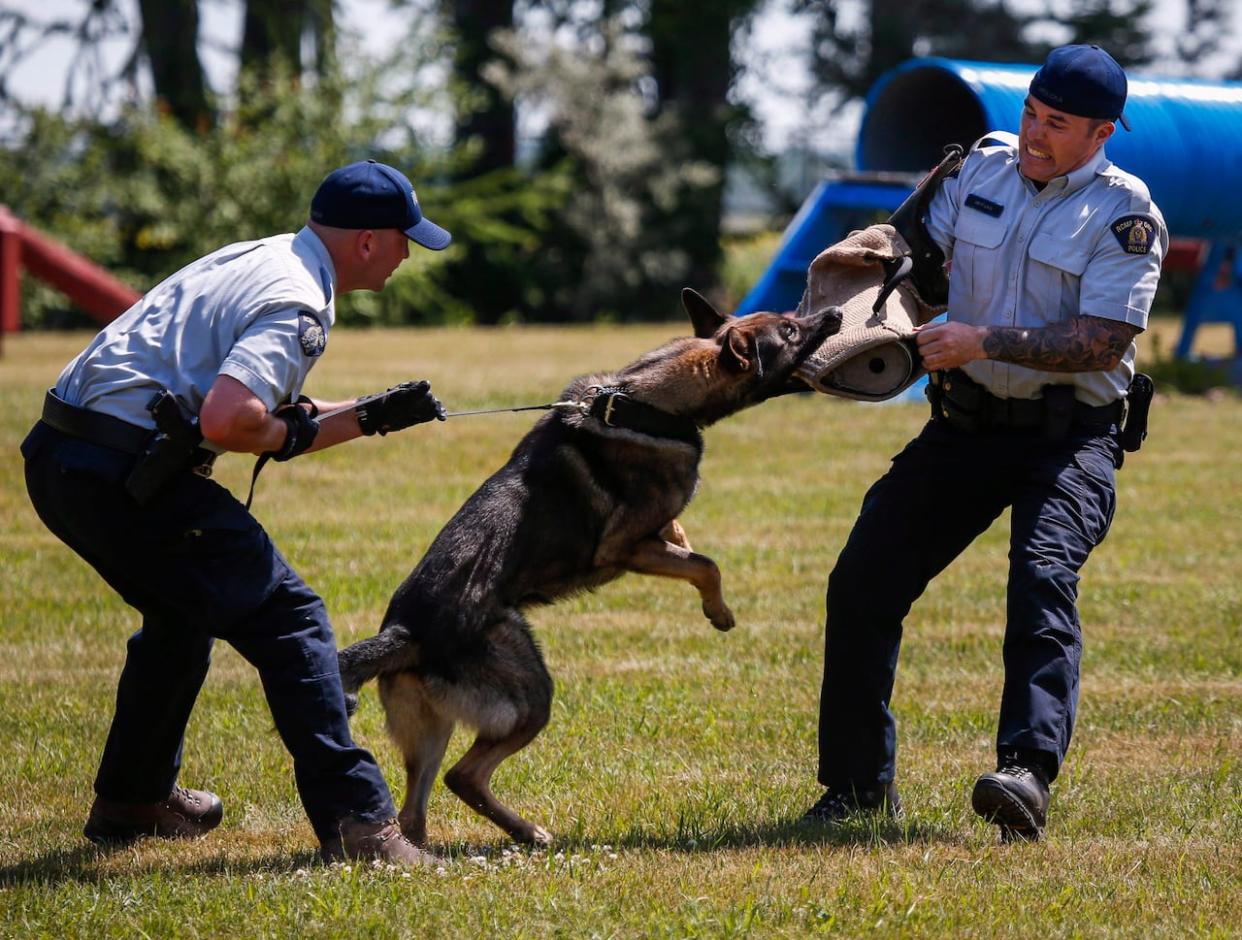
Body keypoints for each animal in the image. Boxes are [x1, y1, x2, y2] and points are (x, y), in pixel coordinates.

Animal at [340, 291, 844, 844]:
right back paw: (530, 834)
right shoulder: (623, 548)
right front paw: (719, 612)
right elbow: (705, 565)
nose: (837, 314)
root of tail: (404, 632)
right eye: (790, 331)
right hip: (529, 691)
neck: (649, 403)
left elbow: (683, 539)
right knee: (463, 775)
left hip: (433, 728)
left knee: (418, 809)